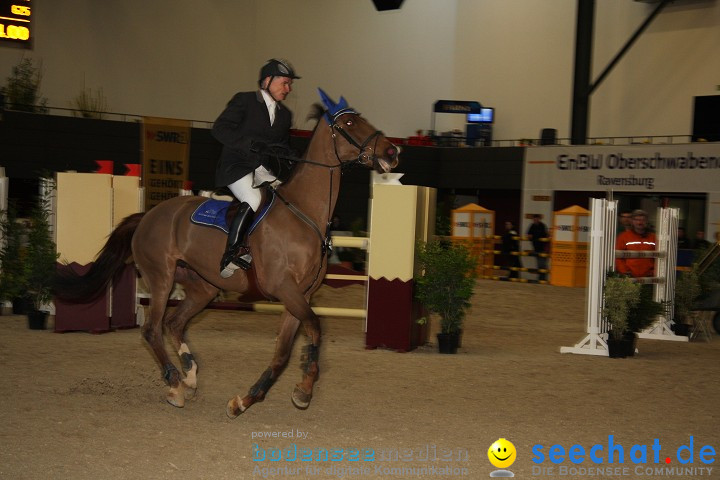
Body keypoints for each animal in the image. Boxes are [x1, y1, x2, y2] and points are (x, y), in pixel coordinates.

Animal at [55, 89, 400, 416]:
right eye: (349, 124)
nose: (392, 151)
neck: (303, 213)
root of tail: (148, 215)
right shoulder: (284, 288)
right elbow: (315, 327)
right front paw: (302, 389)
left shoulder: (299, 296)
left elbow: (283, 353)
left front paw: (248, 400)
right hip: (161, 278)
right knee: (152, 329)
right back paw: (176, 385)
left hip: (202, 286)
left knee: (174, 323)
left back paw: (190, 376)